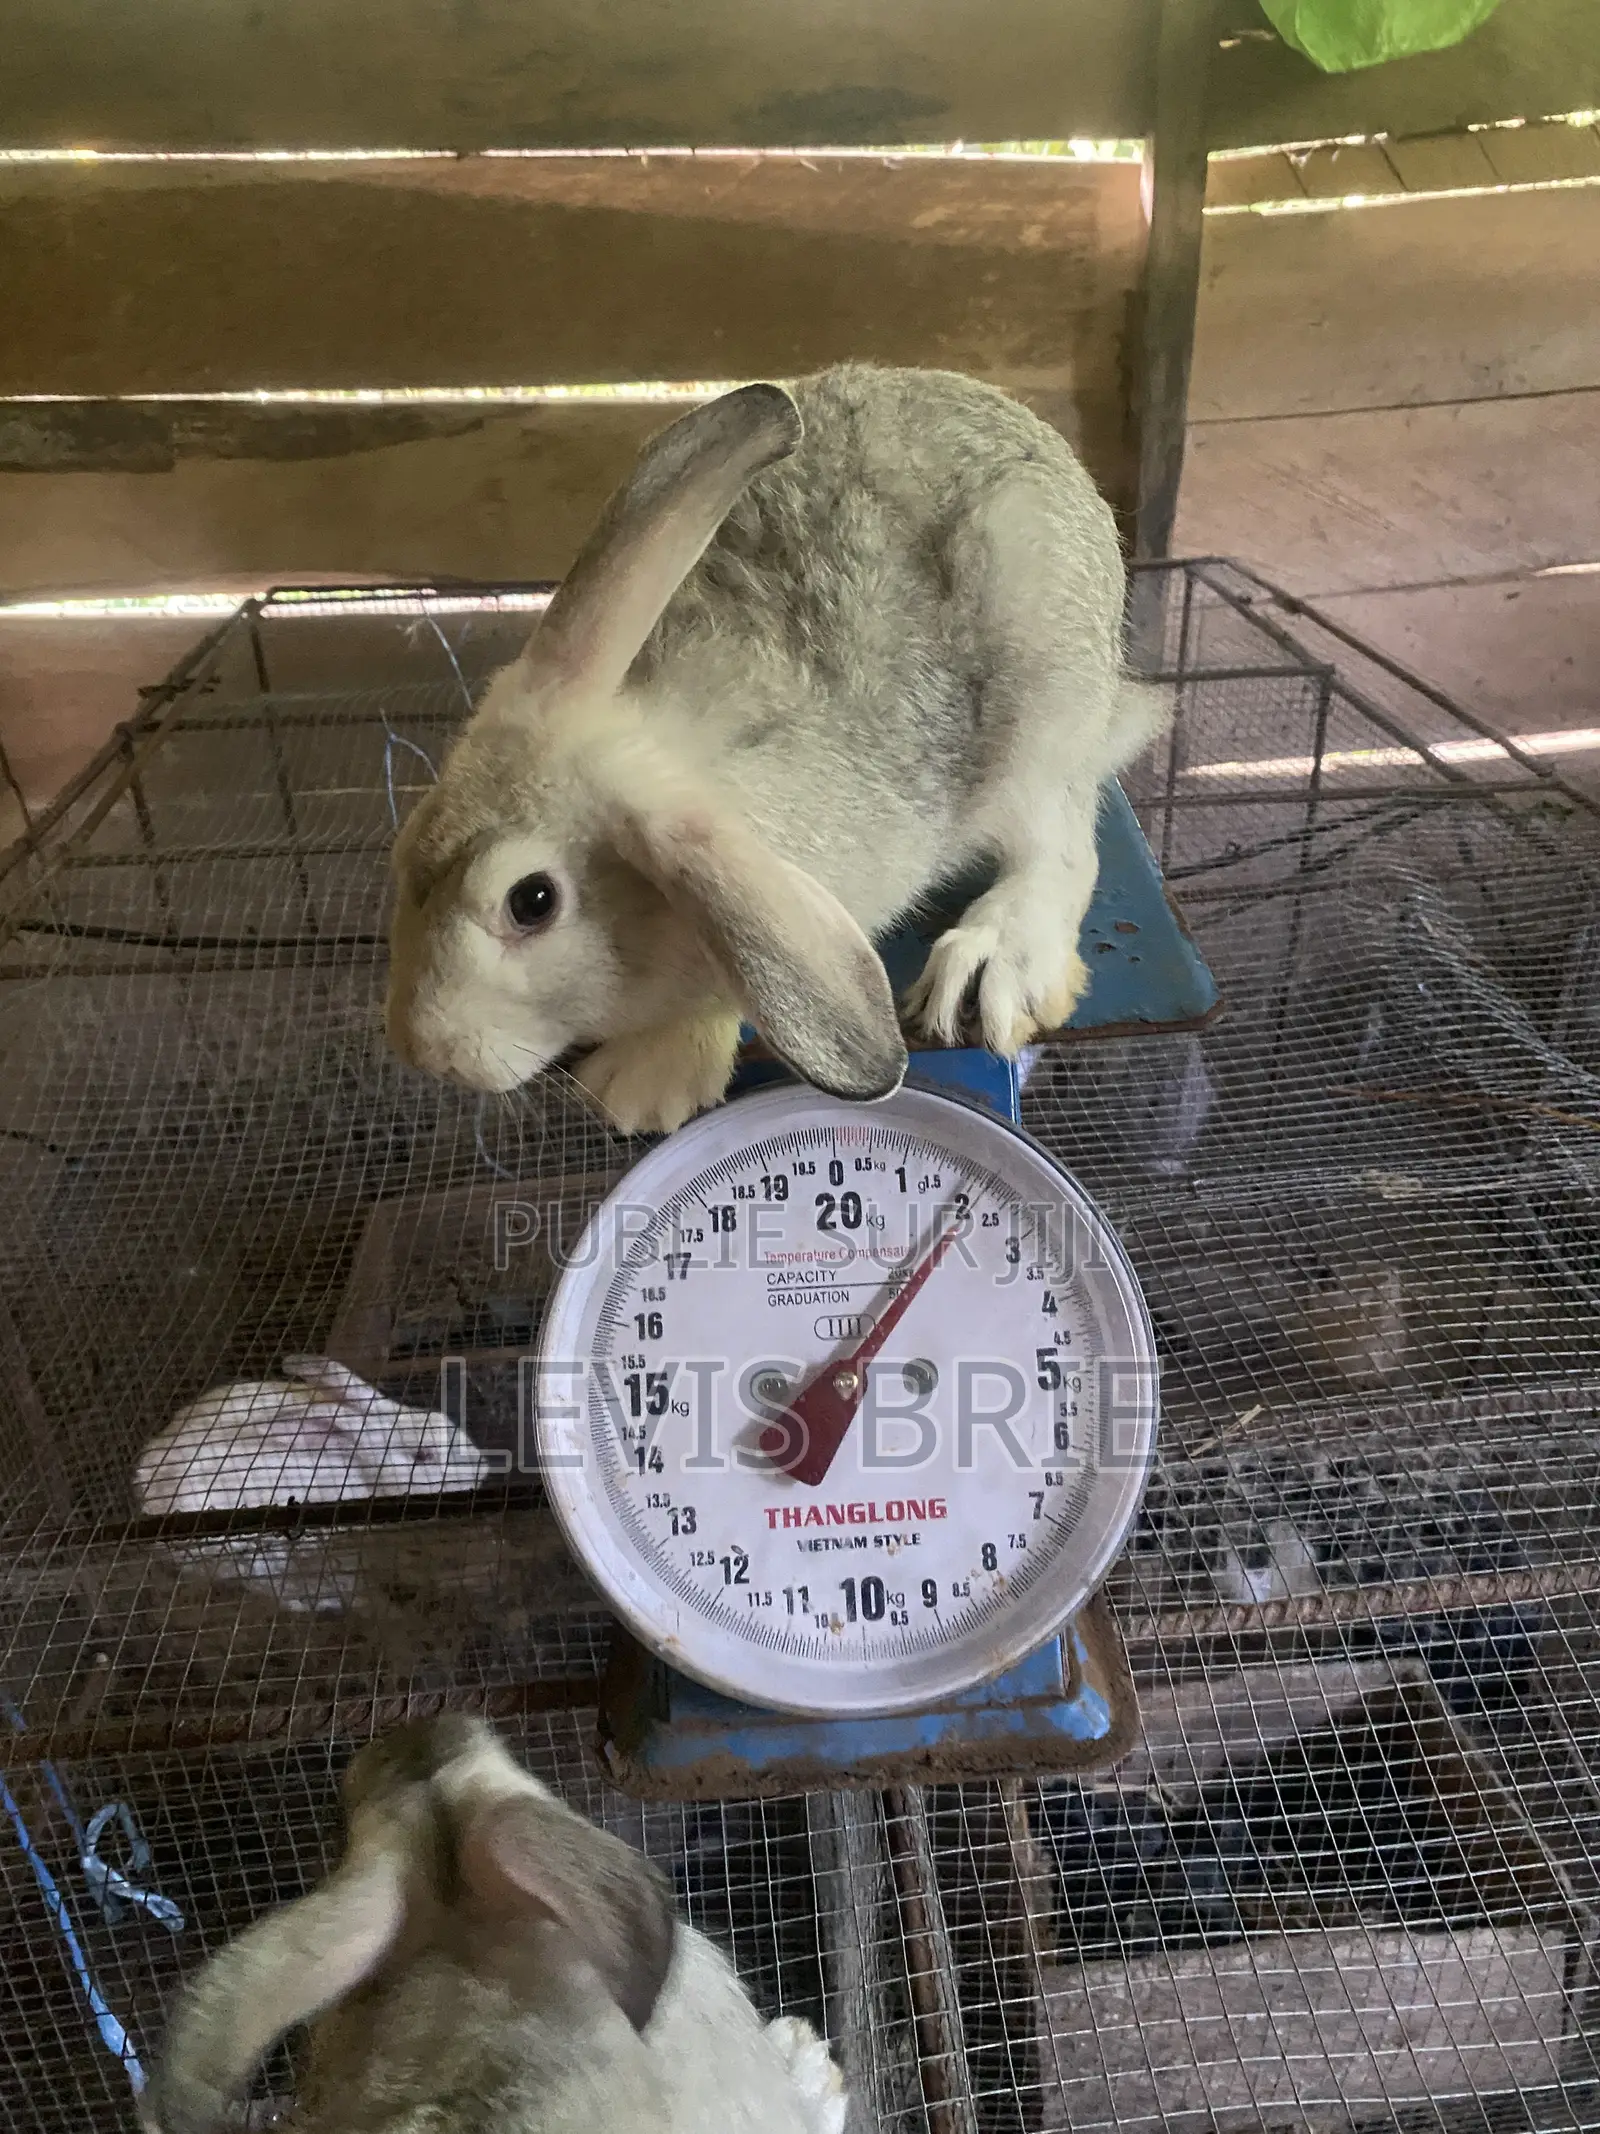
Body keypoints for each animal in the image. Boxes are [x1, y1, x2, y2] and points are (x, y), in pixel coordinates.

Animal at [385, 362, 1171, 1135]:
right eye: (409, 840)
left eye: (533, 901)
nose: (429, 1053)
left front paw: (641, 1086)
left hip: (1046, 714)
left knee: (1062, 846)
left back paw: (989, 968)